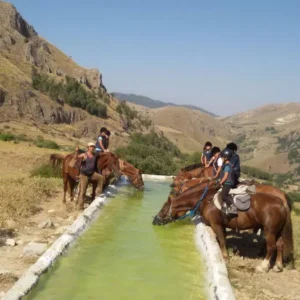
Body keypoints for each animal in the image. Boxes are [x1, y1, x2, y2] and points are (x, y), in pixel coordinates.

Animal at [154, 184, 294, 274]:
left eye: (164, 207)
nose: (154, 220)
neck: (207, 200)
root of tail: (282, 203)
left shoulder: (216, 224)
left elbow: (221, 240)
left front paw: (225, 258)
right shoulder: (221, 225)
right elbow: (222, 239)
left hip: (269, 231)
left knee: (272, 247)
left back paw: (263, 267)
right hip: (277, 232)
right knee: (280, 245)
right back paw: (278, 266)